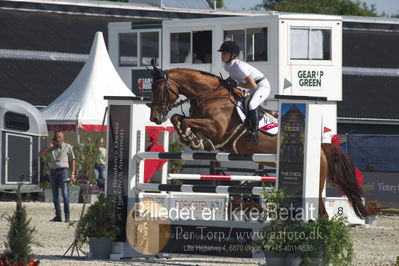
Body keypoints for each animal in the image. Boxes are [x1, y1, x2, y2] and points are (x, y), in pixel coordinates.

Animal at [148, 66, 368, 218]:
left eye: (160, 89)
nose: (155, 118)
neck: (210, 95)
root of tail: (321, 148)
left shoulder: (216, 128)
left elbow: (185, 120)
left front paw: (193, 139)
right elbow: (178, 118)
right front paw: (192, 139)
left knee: (321, 213)